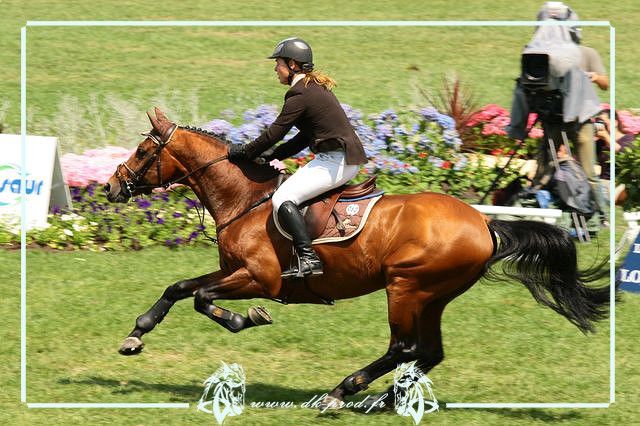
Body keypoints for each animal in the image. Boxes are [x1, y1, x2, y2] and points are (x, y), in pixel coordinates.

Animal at [104, 107, 611, 409]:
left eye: (144, 150)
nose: (111, 186)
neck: (245, 199)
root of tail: (484, 224)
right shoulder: (233, 271)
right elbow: (179, 289)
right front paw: (135, 336)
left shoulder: (259, 278)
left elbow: (203, 299)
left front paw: (245, 319)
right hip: (433, 296)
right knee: (428, 351)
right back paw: (384, 400)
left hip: (406, 288)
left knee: (403, 348)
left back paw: (343, 391)